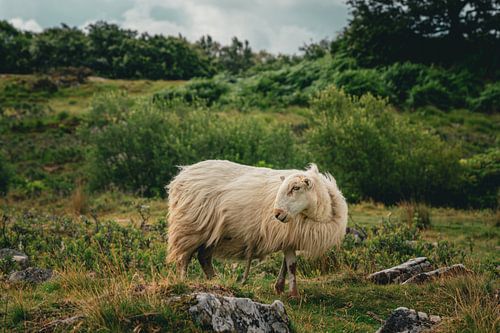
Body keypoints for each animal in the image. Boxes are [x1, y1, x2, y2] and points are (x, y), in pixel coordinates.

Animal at [167, 159, 348, 296]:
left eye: (296, 188)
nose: (277, 213)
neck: (319, 214)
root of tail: (183, 174)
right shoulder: (288, 234)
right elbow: (292, 265)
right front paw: (294, 294)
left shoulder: (289, 237)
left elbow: (285, 264)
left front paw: (279, 287)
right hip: (189, 227)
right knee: (184, 258)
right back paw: (183, 281)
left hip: (212, 233)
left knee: (203, 257)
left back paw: (214, 279)